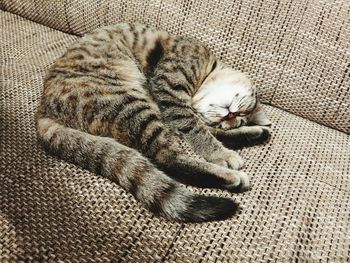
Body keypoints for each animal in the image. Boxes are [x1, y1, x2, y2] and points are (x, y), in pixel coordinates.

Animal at [35, 23, 270, 224]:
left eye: (237, 115)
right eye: (240, 106)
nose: (230, 115)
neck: (207, 69)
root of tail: (43, 112)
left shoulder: (172, 106)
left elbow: (201, 129)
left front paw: (244, 133)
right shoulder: (169, 90)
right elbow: (198, 131)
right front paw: (222, 154)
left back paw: (255, 135)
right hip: (131, 106)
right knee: (166, 159)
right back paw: (231, 176)